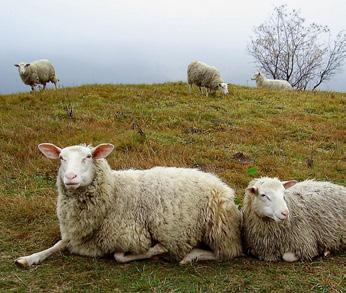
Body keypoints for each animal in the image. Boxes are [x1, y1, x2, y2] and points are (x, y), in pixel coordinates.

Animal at [14, 142, 242, 266]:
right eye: (61, 158)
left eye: (88, 156)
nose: (70, 177)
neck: (114, 192)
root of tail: (219, 183)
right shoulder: (75, 235)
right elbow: (57, 245)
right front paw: (29, 258)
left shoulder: (131, 235)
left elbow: (120, 256)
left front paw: (158, 249)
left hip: (218, 228)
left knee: (226, 253)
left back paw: (191, 256)